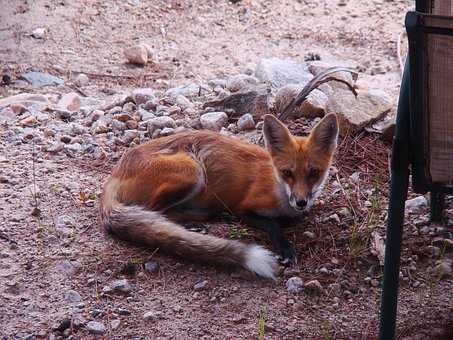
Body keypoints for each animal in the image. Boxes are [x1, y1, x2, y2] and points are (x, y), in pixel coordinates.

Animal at [100, 113, 338, 278]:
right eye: (287, 173)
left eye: (314, 173)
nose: (301, 202)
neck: (278, 190)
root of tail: (116, 171)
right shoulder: (243, 208)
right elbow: (273, 224)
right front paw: (285, 246)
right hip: (193, 171)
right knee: (153, 210)